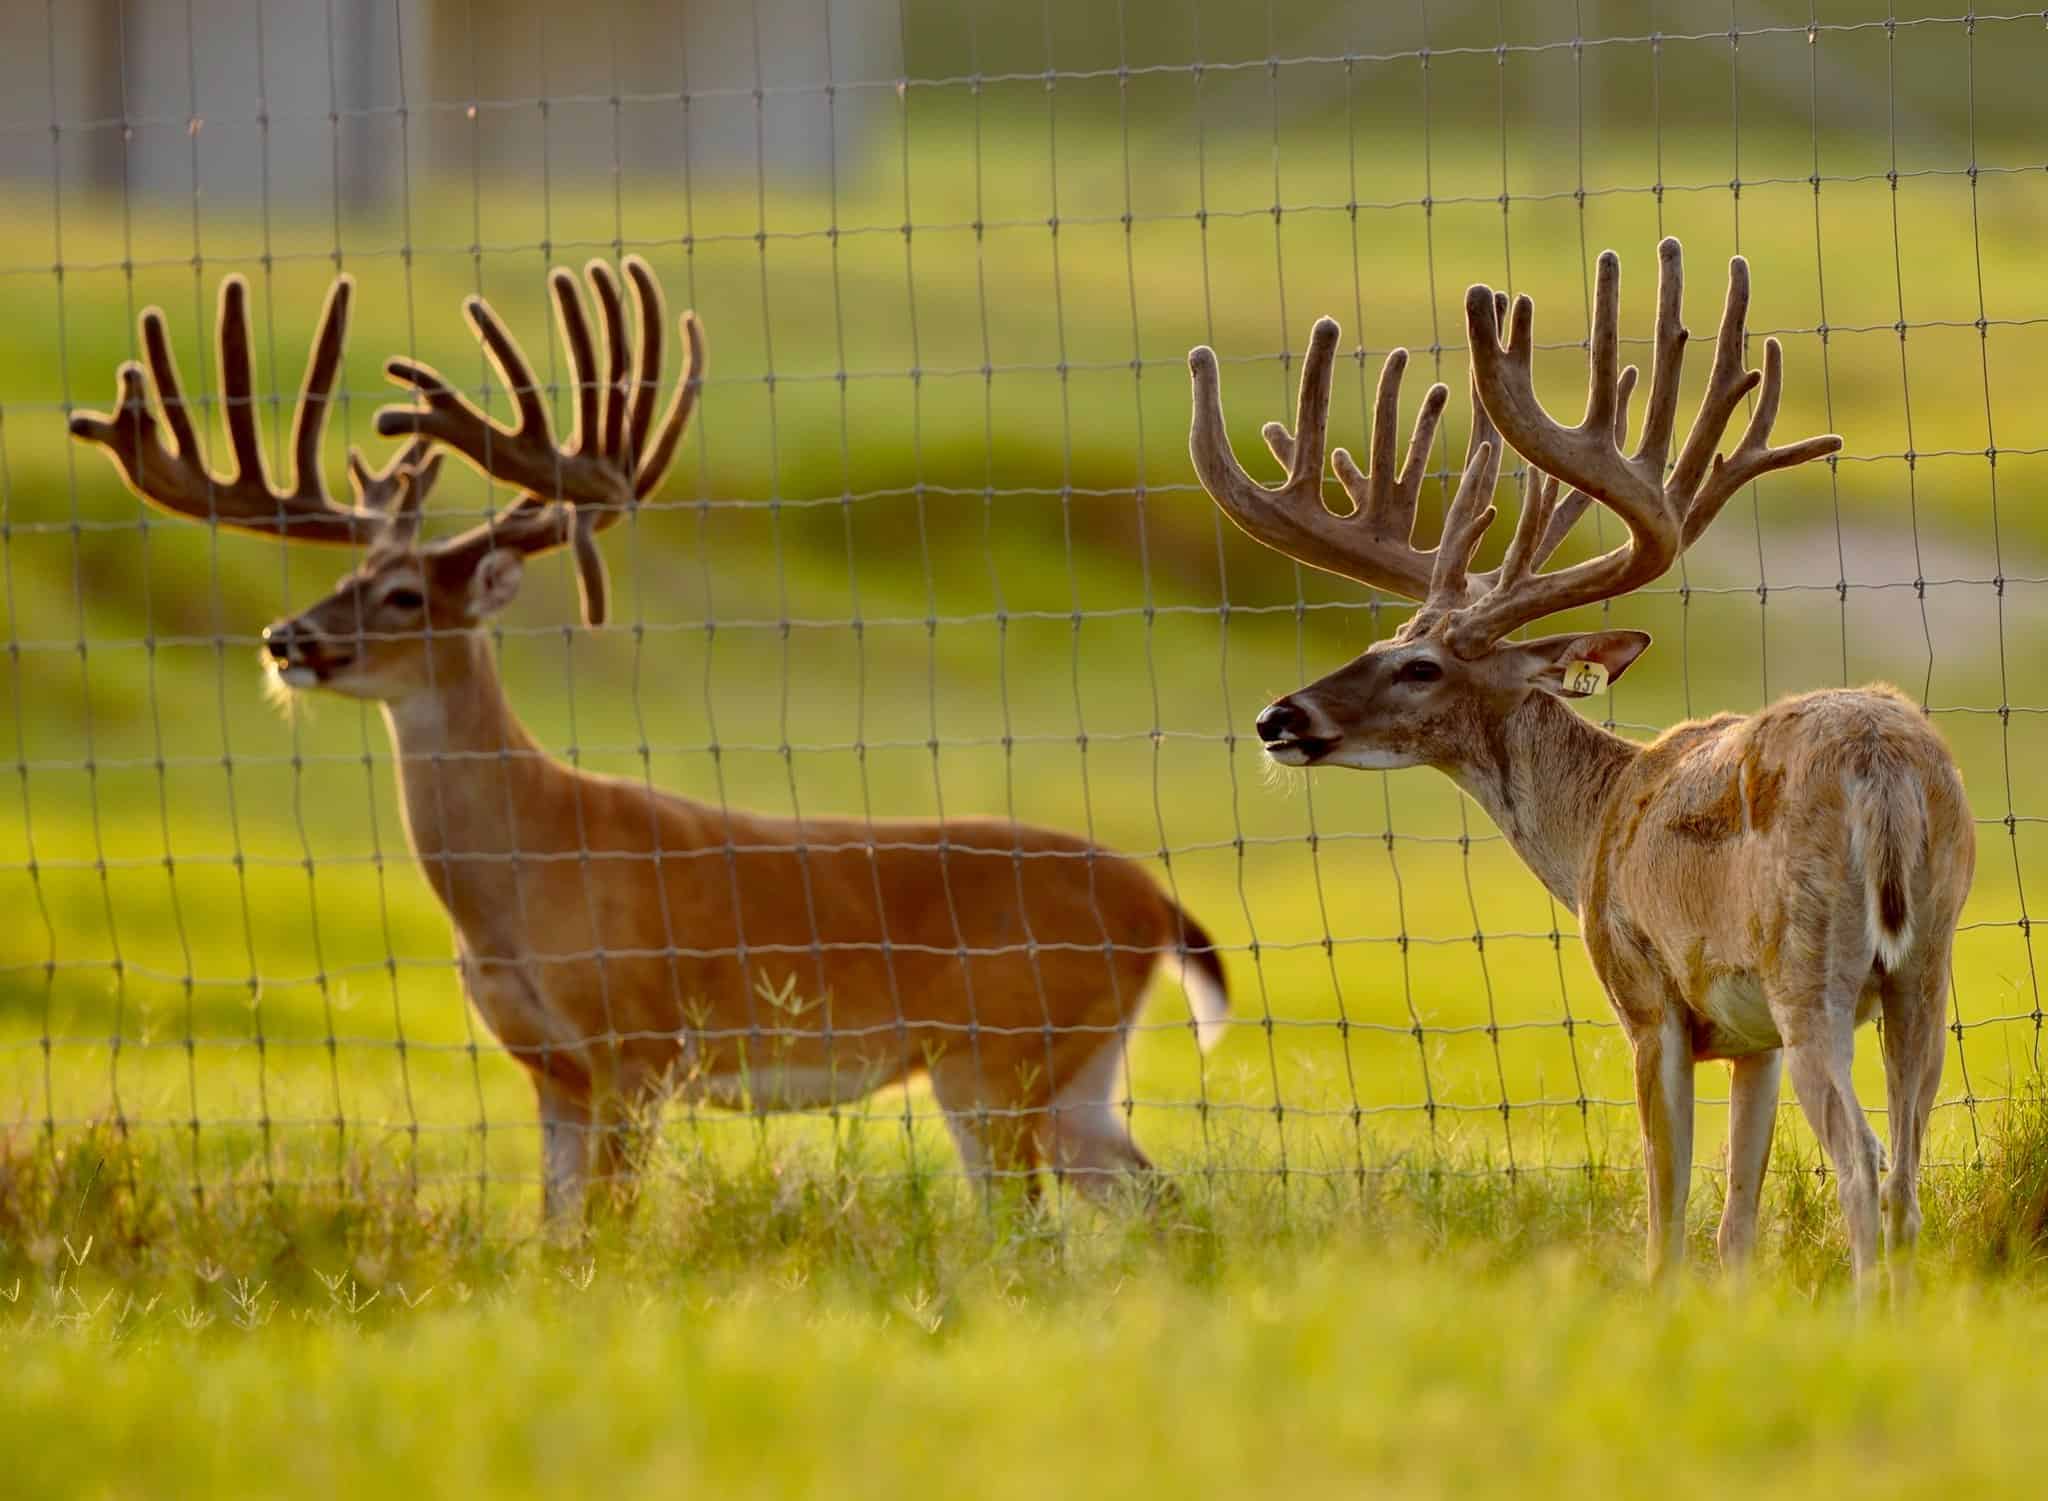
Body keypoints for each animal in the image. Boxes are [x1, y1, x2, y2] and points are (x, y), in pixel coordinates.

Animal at [69, 256, 1230, 1221]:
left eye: (402, 595)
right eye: (345, 576)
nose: (288, 640)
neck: (527, 867)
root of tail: (1157, 905)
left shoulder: (637, 1043)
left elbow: (612, 1229)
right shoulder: (551, 1067)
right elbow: (553, 1234)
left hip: (996, 1059)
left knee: (1033, 1227)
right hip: (1072, 1077)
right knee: (1158, 1203)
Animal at [1187, 237, 1973, 1300]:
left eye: (1420, 665)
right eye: (1384, 640)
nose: (1280, 718)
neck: (1598, 817)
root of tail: (1882, 763)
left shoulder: (1647, 994)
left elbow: (1667, 1212)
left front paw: (1660, 1304)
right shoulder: (1750, 1037)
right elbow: (1737, 1216)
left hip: (1809, 964)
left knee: (1863, 1160)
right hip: (1925, 963)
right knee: (1908, 1172)